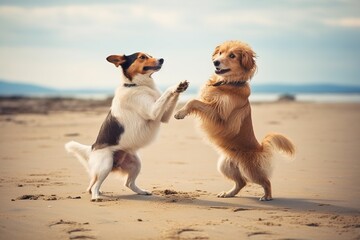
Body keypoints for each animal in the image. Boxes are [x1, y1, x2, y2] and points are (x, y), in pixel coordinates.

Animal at [65, 52, 188, 201]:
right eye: (142, 57)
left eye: (150, 55)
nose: (162, 59)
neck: (135, 85)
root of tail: (93, 148)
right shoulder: (153, 112)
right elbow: (167, 92)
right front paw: (176, 86)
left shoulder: (163, 117)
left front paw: (181, 87)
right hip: (105, 165)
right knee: (96, 184)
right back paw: (96, 196)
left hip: (135, 163)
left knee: (126, 183)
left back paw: (141, 191)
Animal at [174, 40, 296, 201]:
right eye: (220, 53)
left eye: (232, 56)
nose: (215, 62)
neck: (227, 83)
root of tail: (260, 148)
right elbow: (194, 100)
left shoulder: (221, 116)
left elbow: (193, 101)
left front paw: (180, 113)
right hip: (225, 166)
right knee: (241, 182)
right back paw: (228, 193)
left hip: (249, 169)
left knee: (265, 181)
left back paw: (267, 196)